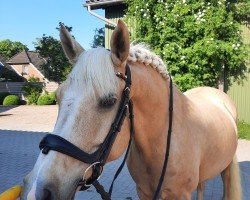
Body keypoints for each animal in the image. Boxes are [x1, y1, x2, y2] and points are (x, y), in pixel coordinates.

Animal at [21, 20, 240, 200]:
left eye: (109, 101)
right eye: (58, 96)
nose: (35, 191)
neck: (164, 142)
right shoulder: (143, 192)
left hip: (226, 168)